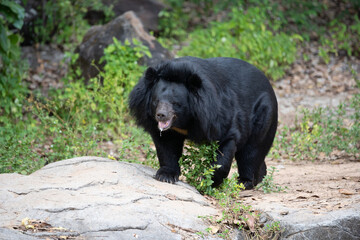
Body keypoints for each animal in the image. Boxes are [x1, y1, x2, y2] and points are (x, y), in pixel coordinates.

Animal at [129, 56, 278, 189]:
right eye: (156, 101)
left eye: (175, 103)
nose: (161, 115)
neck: (184, 121)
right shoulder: (168, 130)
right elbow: (167, 146)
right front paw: (166, 175)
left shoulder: (216, 116)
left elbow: (225, 144)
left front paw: (208, 181)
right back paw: (260, 176)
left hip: (263, 114)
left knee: (252, 151)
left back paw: (245, 182)